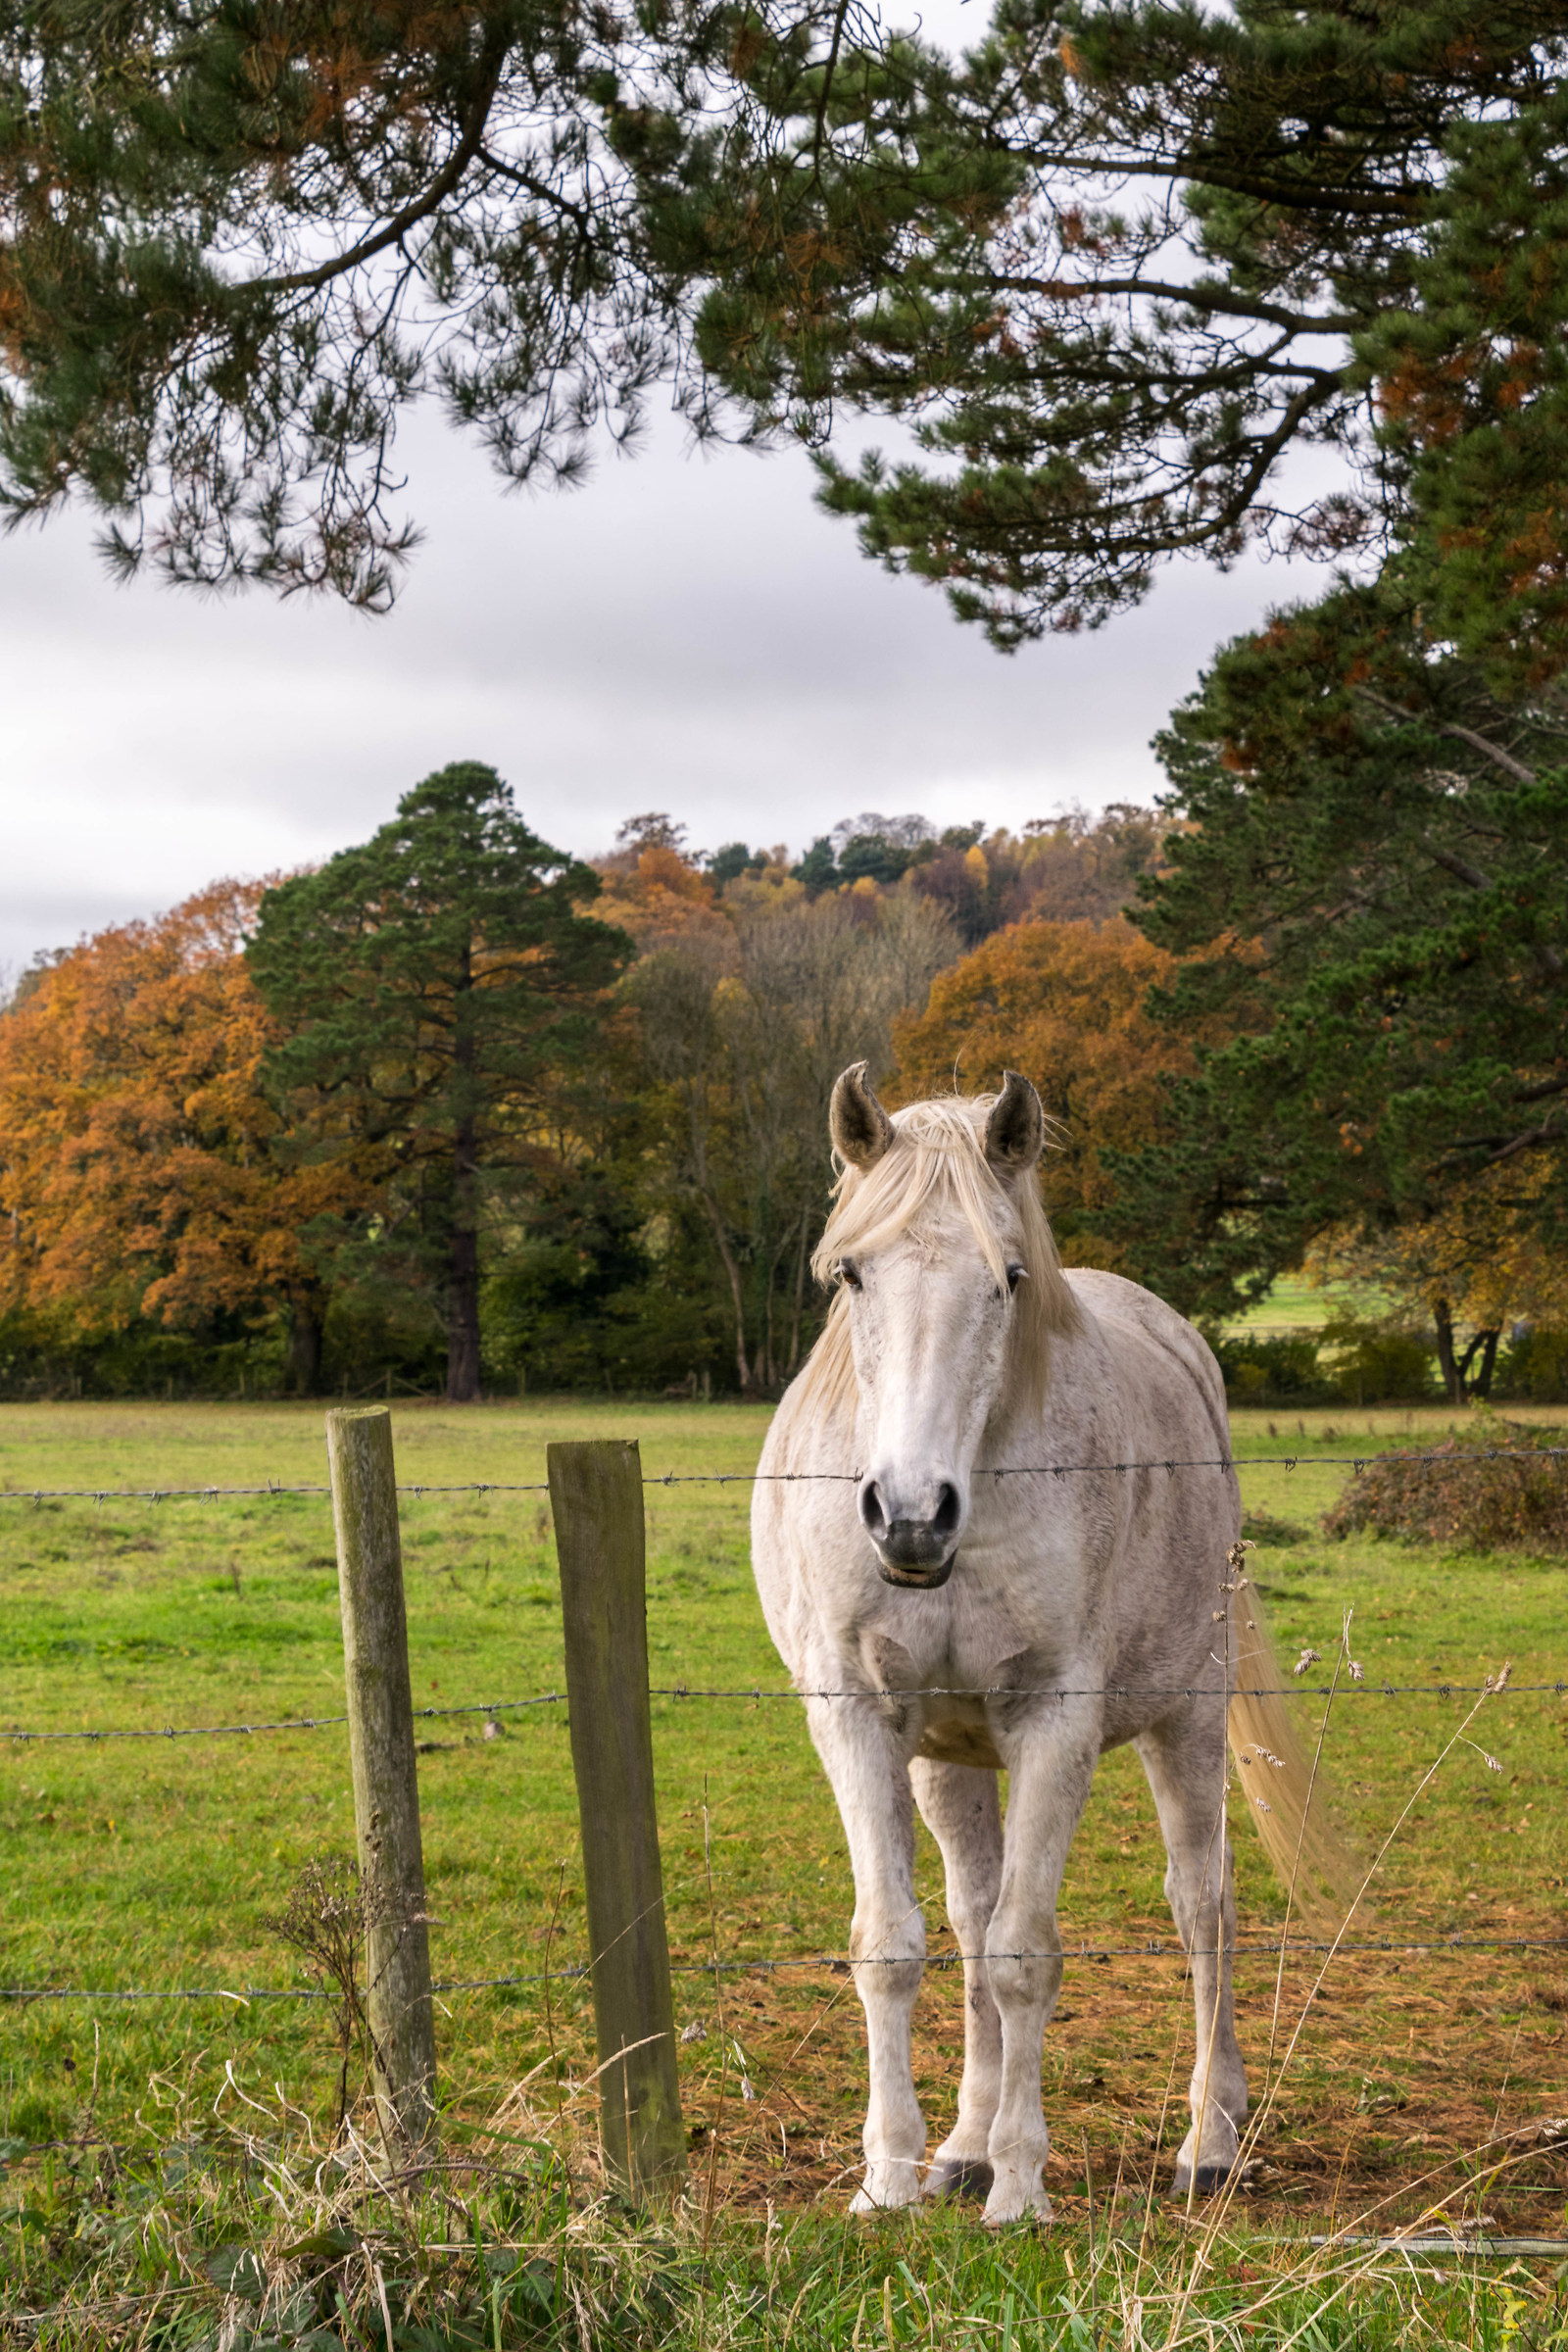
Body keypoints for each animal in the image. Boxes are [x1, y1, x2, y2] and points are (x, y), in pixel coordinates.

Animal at [750, 1064, 1349, 2225]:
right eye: (850, 1274)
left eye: (1009, 1278)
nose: (909, 1516)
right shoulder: (858, 1716)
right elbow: (896, 1946)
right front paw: (890, 2178)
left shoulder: (1054, 1720)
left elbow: (1027, 1953)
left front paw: (1021, 2189)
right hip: (949, 1759)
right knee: (972, 1917)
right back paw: (963, 2145)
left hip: (1186, 1721)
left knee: (1201, 1903)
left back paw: (1210, 2132)